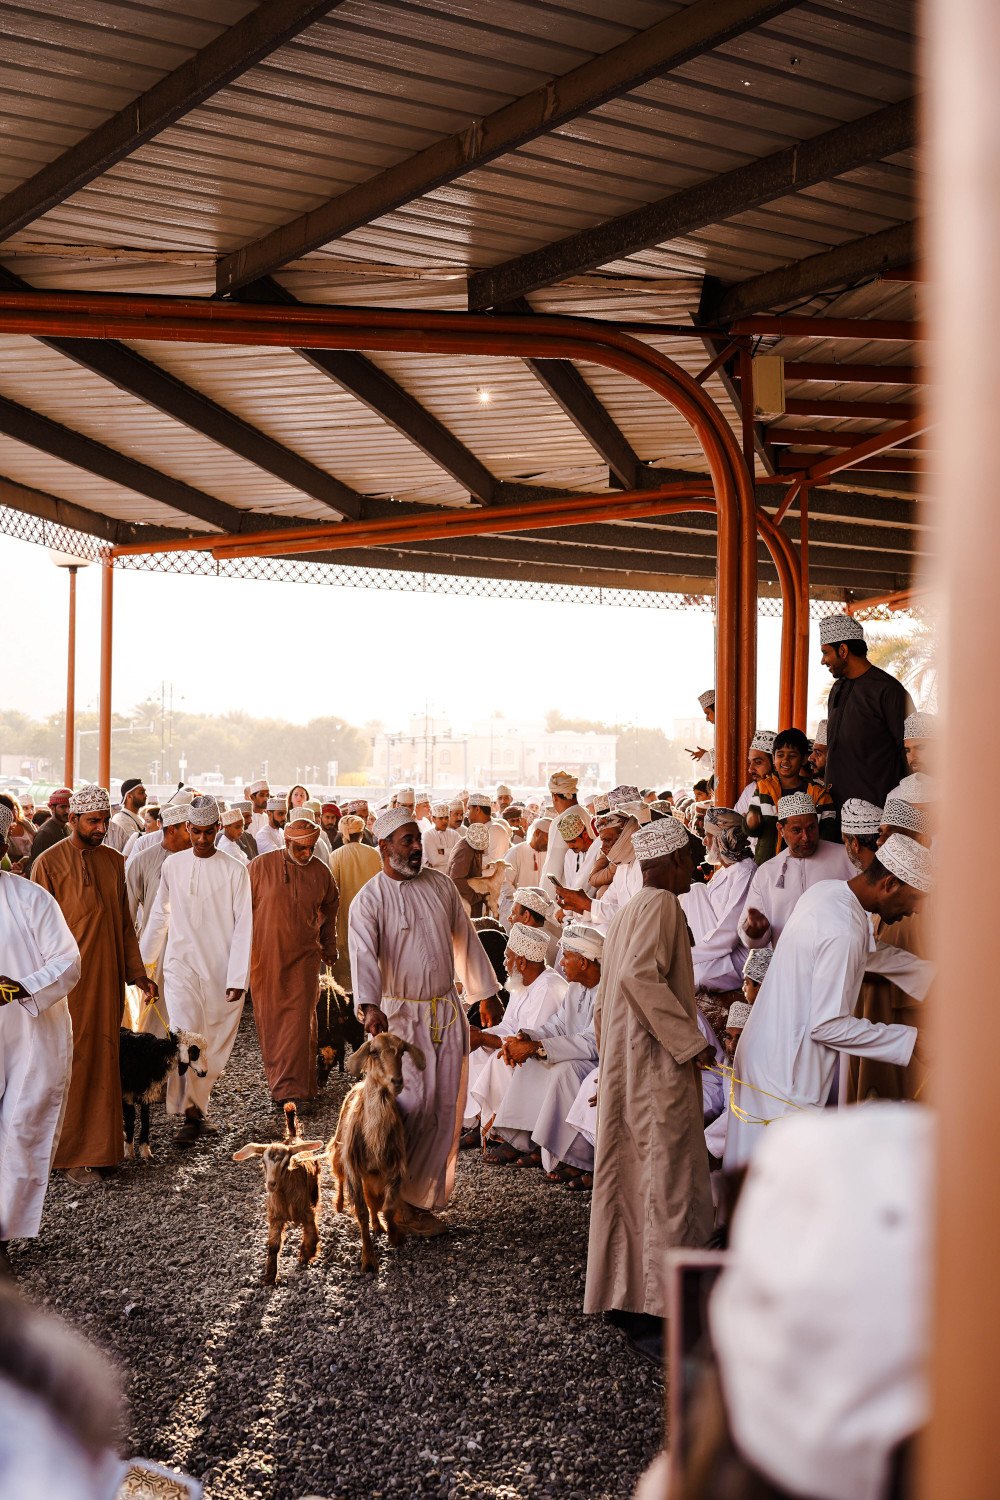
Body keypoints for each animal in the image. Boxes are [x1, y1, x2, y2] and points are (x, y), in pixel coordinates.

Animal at [235, 1098, 325, 1284]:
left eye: (285, 1164)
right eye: (263, 1162)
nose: (271, 1184)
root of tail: (293, 1138)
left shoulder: (307, 1210)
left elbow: (311, 1231)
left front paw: (307, 1254)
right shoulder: (275, 1216)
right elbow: (274, 1245)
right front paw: (269, 1277)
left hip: (315, 1188)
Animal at [326, 1038, 425, 1272]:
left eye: (402, 1051)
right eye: (374, 1052)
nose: (396, 1081)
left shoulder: (395, 1168)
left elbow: (387, 1207)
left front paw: (394, 1235)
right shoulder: (354, 1167)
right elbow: (361, 1211)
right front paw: (368, 1260)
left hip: (372, 1177)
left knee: (373, 1202)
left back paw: (378, 1225)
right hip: (340, 1151)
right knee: (340, 1177)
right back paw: (340, 1203)